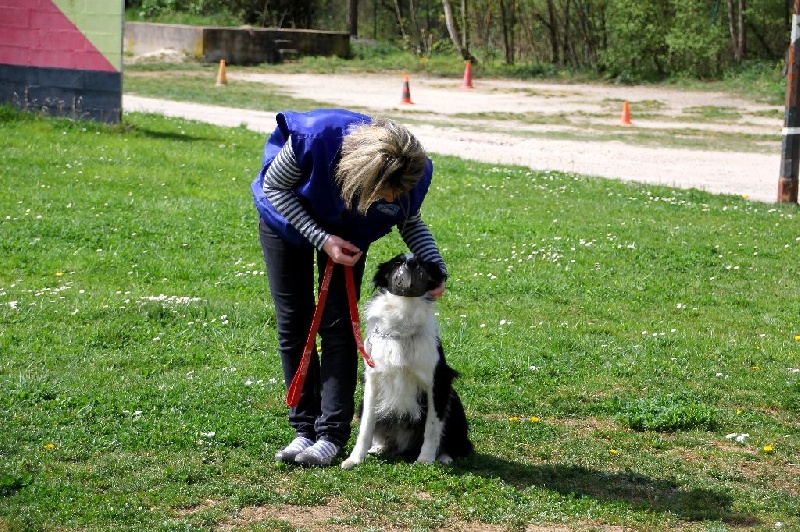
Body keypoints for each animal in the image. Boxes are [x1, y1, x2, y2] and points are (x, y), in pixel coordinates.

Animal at [340, 256, 472, 468]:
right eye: (397, 262)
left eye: (422, 263)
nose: (411, 264)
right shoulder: (373, 380)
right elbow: (366, 425)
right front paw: (354, 459)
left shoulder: (437, 382)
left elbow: (432, 427)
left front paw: (425, 460)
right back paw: (378, 447)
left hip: (453, 400)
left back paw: (444, 457)